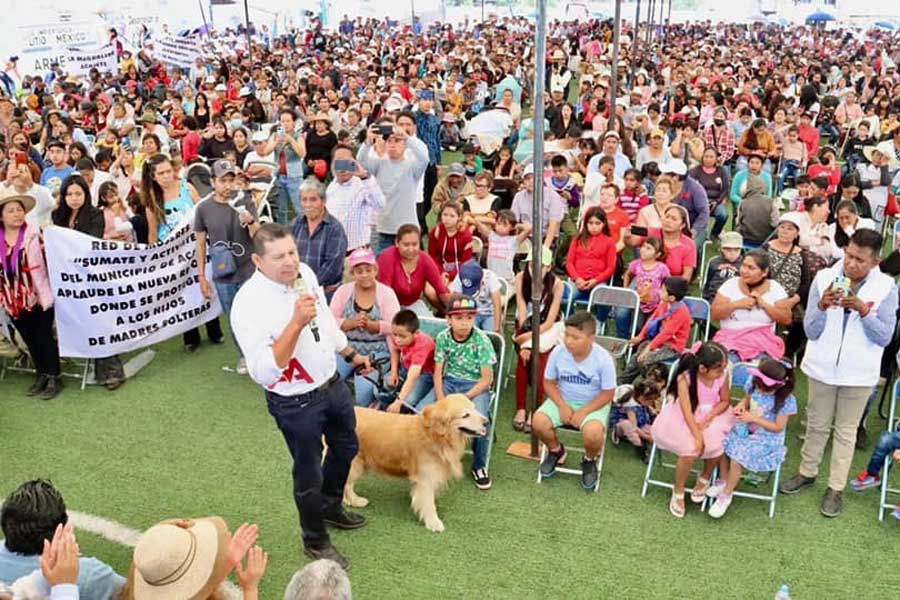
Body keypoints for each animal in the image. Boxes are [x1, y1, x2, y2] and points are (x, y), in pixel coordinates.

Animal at [342, 396, 486, 532]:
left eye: (474, 408)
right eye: (465, 415)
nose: (487, 422)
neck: (435, 435)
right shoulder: (425, 479)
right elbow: (428, 502)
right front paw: (434, 522)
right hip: (355, 463)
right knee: (346, 484)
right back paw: (354, 501)